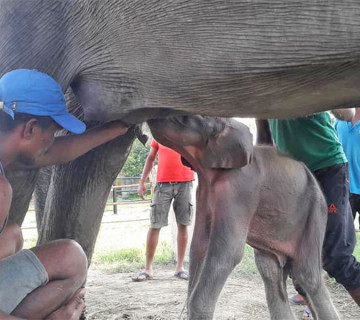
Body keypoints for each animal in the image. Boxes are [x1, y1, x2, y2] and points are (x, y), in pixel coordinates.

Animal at [148, 116, 338, 320]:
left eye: (188, 118)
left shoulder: (241, 189)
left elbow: (228, 253)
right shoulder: (204, 192)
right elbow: (199, 246)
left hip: (315, 211)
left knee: (307, 275)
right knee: (270, 272)